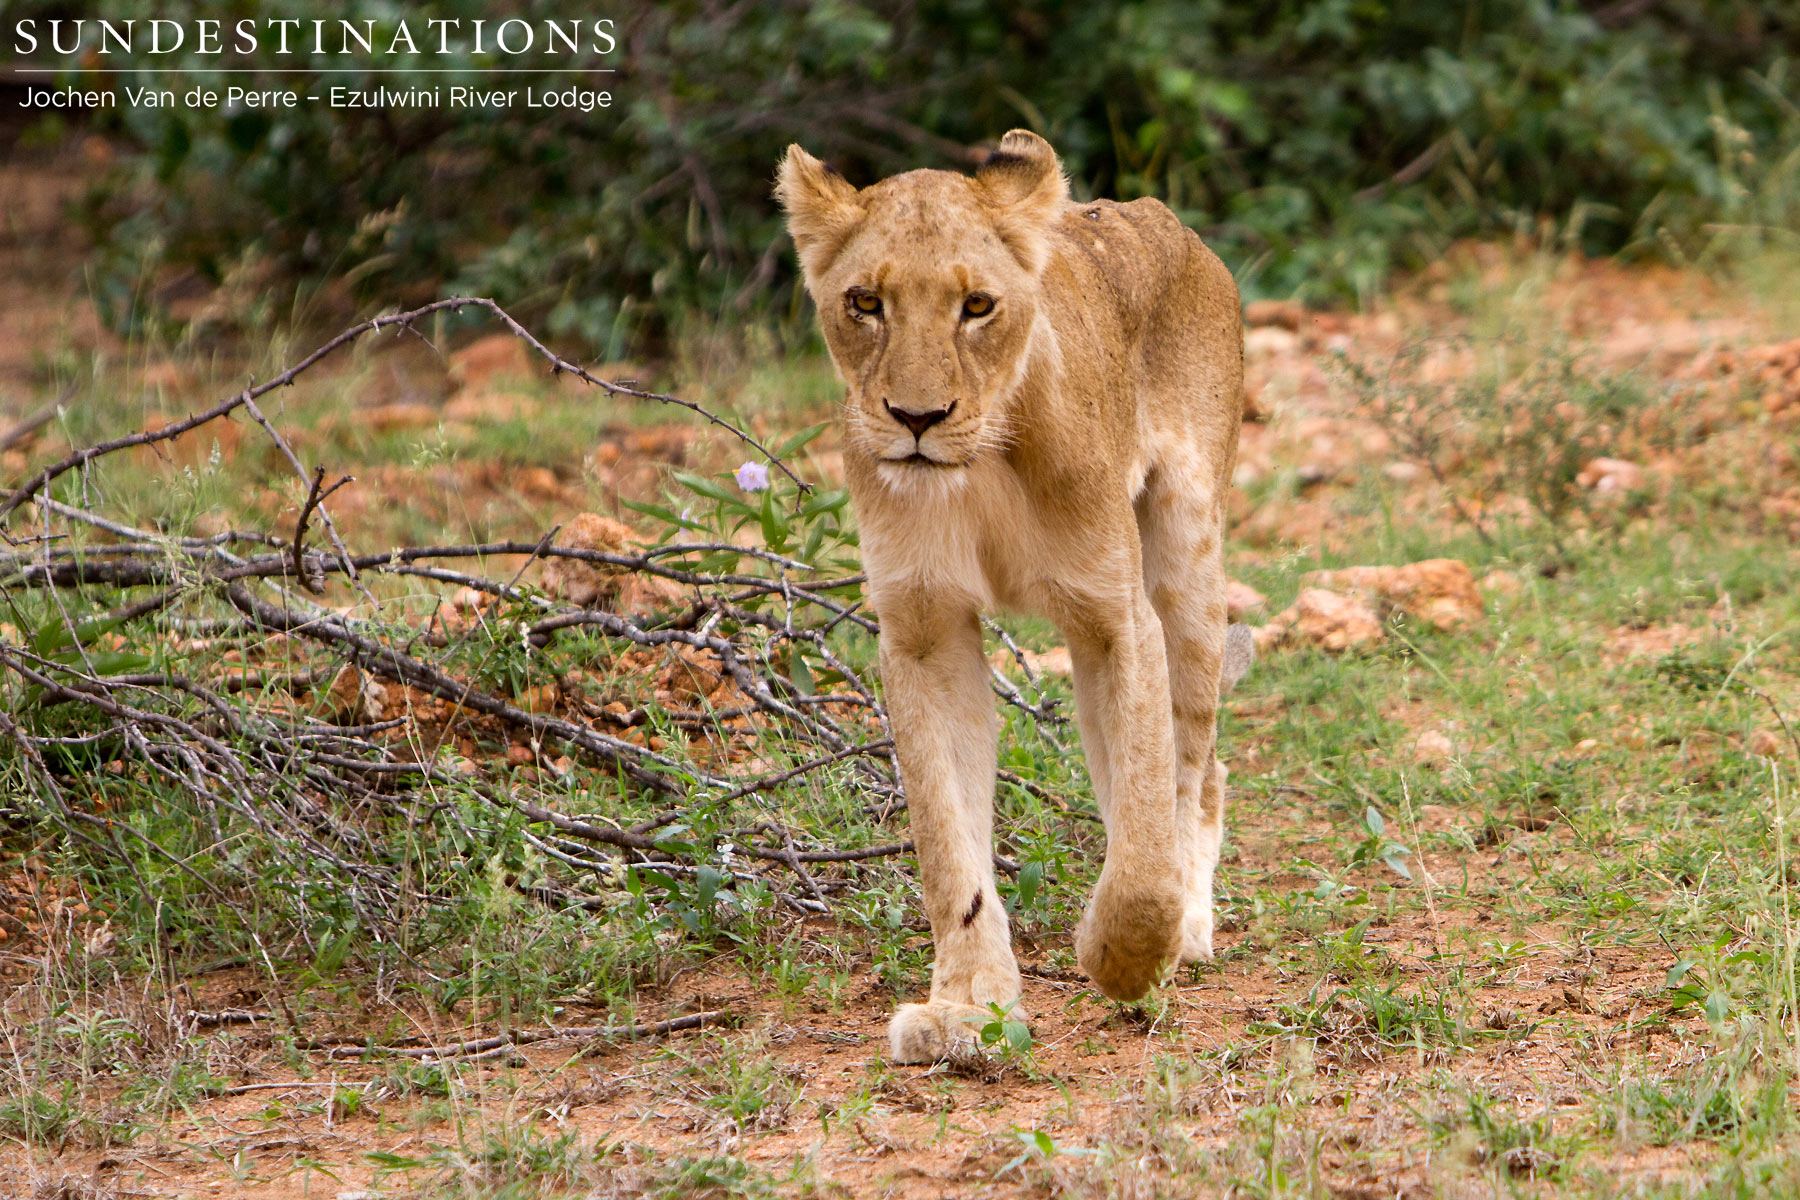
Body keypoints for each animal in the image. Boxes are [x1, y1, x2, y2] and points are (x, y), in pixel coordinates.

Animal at [776, 129, 1248, 1063]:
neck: (981, 465)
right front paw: (966, 1011)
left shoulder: (1115, 617)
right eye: (865, 302)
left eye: (977, 306)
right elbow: (947, 843)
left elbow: (1145, 847)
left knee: (1194, 769)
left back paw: (1191, 924)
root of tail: (1160, 216)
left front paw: (1126, 957)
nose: (916, 418)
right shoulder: (925, 631)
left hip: (1187, 561)